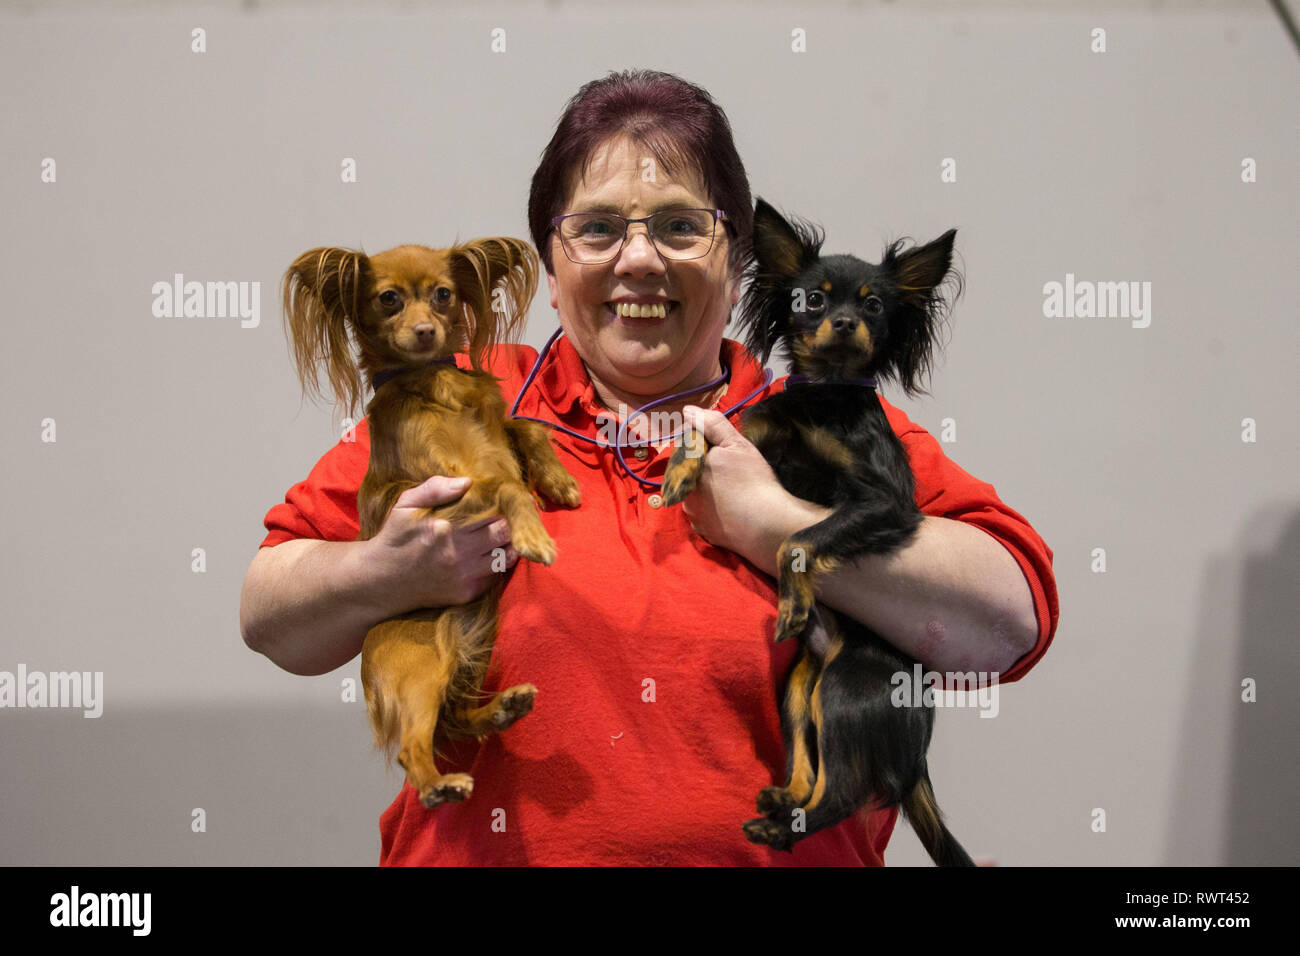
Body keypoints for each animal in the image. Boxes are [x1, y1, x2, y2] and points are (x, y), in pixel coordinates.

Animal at [283, 239, 579, 806]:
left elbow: (525, 427)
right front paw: (534, 535)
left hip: (472, 645)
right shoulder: (446, 493)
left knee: (456, 715)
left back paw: (500, 709)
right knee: (413, 745)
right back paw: (439, 785)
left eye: (443, 295)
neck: (434, 381)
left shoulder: (497, 431)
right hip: (420, 671)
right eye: (388, 299)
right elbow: (508, 486)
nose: (425, 331)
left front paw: (558, 481)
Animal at [665, 200, 972, 868]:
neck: (824, 399)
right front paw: (678, 469)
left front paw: (792, 593)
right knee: (811, 767)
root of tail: (916, 755)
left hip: (849, 692)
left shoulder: (884, 503)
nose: (845, 324)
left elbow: (798, 540)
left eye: (874, 306)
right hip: (802, 688)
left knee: (843, 793)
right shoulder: (752, 429)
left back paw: (779, 831)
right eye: (811, 299)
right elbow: (700, 426)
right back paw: (784, 803)